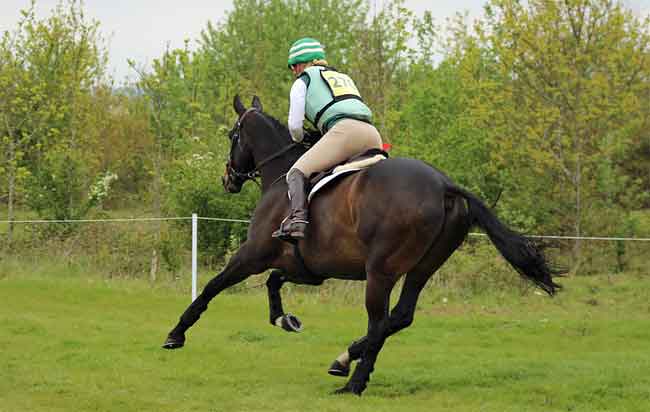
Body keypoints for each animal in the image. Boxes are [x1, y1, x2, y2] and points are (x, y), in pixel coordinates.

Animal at [161, 95, 556, 394]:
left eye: (233, 135)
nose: (227, 179)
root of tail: (444, 185)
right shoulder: (307, 268)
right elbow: (274, 282)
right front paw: (285, 319)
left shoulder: (252, 255)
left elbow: (212, 286)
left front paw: (175, 334)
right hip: (424, 266)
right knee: (400, 316)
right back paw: (343, 360)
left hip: (380, 270)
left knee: (379, 321)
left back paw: (354, 382)